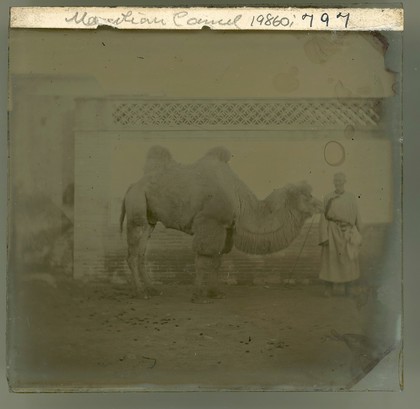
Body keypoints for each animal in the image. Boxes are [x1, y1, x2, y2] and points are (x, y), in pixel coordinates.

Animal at [120, 145, 324, 302]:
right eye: (307, 195)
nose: (321, 204)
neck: (239, 199)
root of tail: (131, 186)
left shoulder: (225, 228)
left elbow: (216, 261)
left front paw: (215, 293)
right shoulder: (209, 222)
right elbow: (203, 259)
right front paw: (199, 295)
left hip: (150, 220)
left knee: (141, 253)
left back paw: (152, 290)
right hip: (137, 209)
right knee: (132, 254)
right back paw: (140, 293)